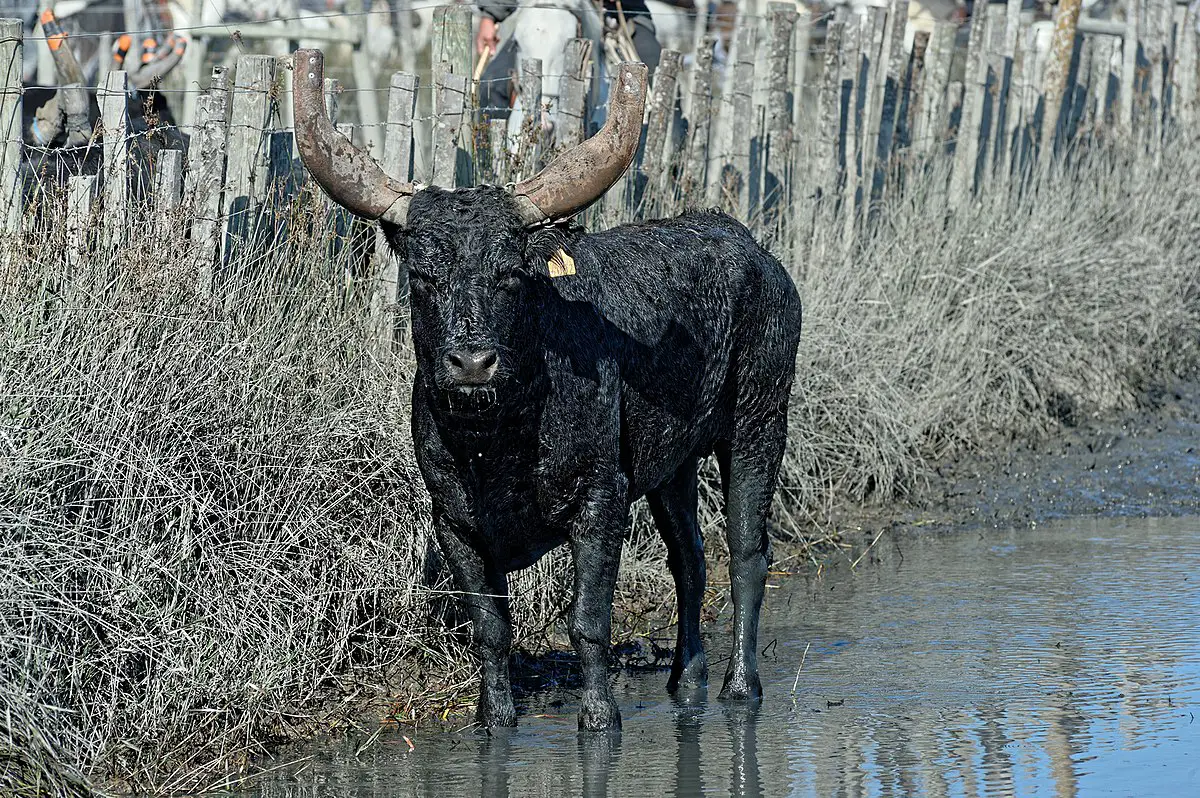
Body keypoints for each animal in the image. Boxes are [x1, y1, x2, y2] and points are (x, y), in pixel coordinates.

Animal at [292, 52, 796, 729]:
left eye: (509, 273)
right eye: (423, 275)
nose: (471, 363)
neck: (499, 441)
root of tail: (756, 253)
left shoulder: (600, 503)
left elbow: (588, 623)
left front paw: (600, 719)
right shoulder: (455, 524)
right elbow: (491, 630)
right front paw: (495, 718)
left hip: (757, 426)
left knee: (746, 554)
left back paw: (740, 688)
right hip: (673, 468)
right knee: (690, 561)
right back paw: (685, 680)